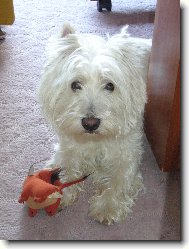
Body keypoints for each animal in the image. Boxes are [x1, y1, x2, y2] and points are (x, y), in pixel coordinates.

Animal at [37, 23, 151, 226]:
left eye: (110, 85)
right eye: (75, 84)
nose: (90, 123)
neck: (93, 140)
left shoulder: (127, 156)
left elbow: (119, 181)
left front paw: (107, 208)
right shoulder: (68, 146)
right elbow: (65, 167)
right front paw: (59, 192)